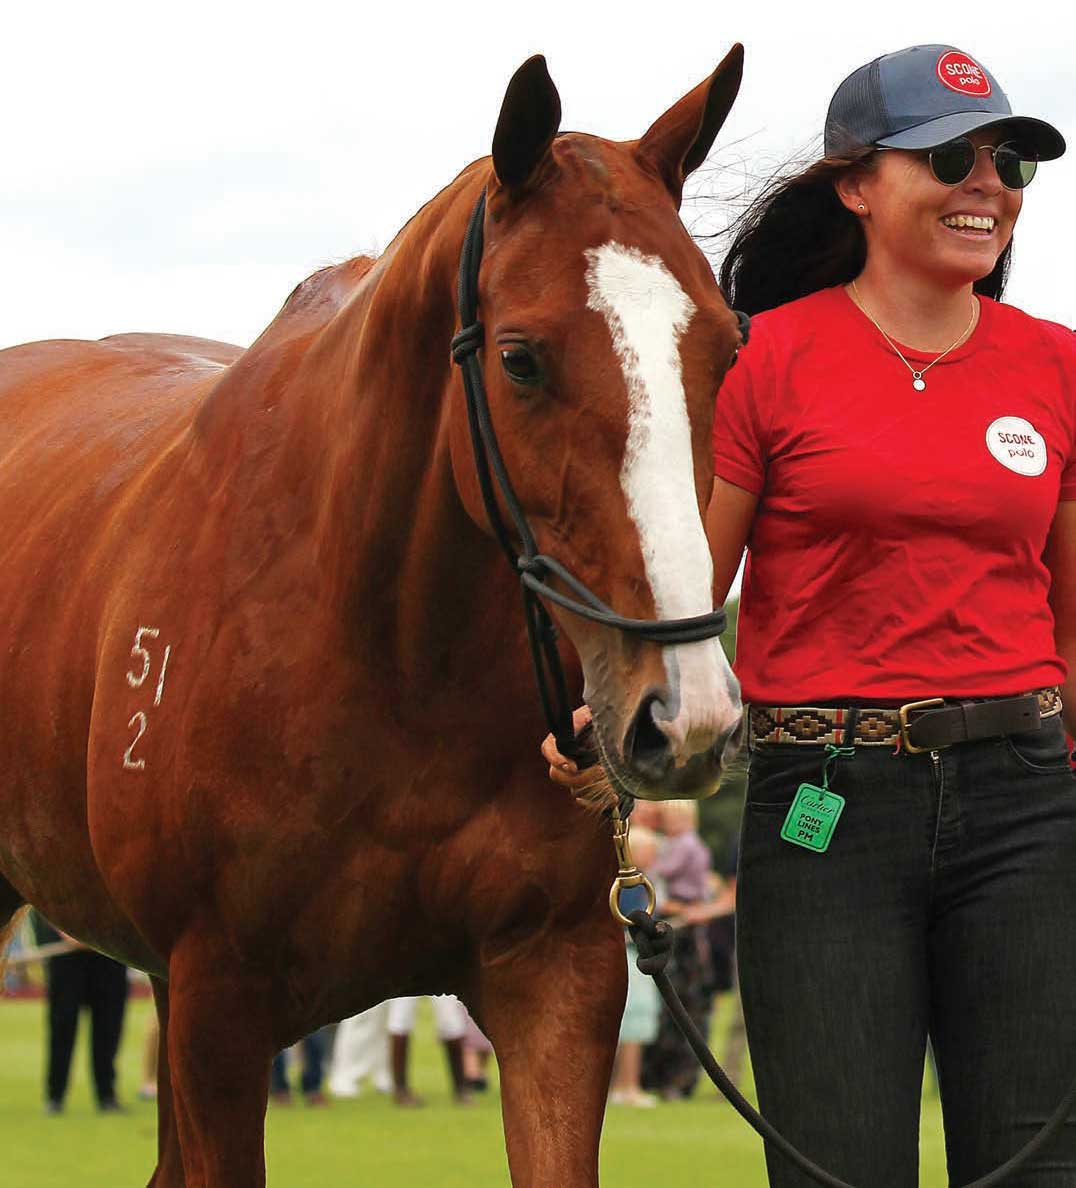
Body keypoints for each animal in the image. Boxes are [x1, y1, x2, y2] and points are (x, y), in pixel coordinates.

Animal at [0, 47, 745, 1186]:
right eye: (520, 358)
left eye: (726, 344)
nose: (684, 715)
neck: (387, 660)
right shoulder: (218, 1009)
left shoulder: (557, 983)